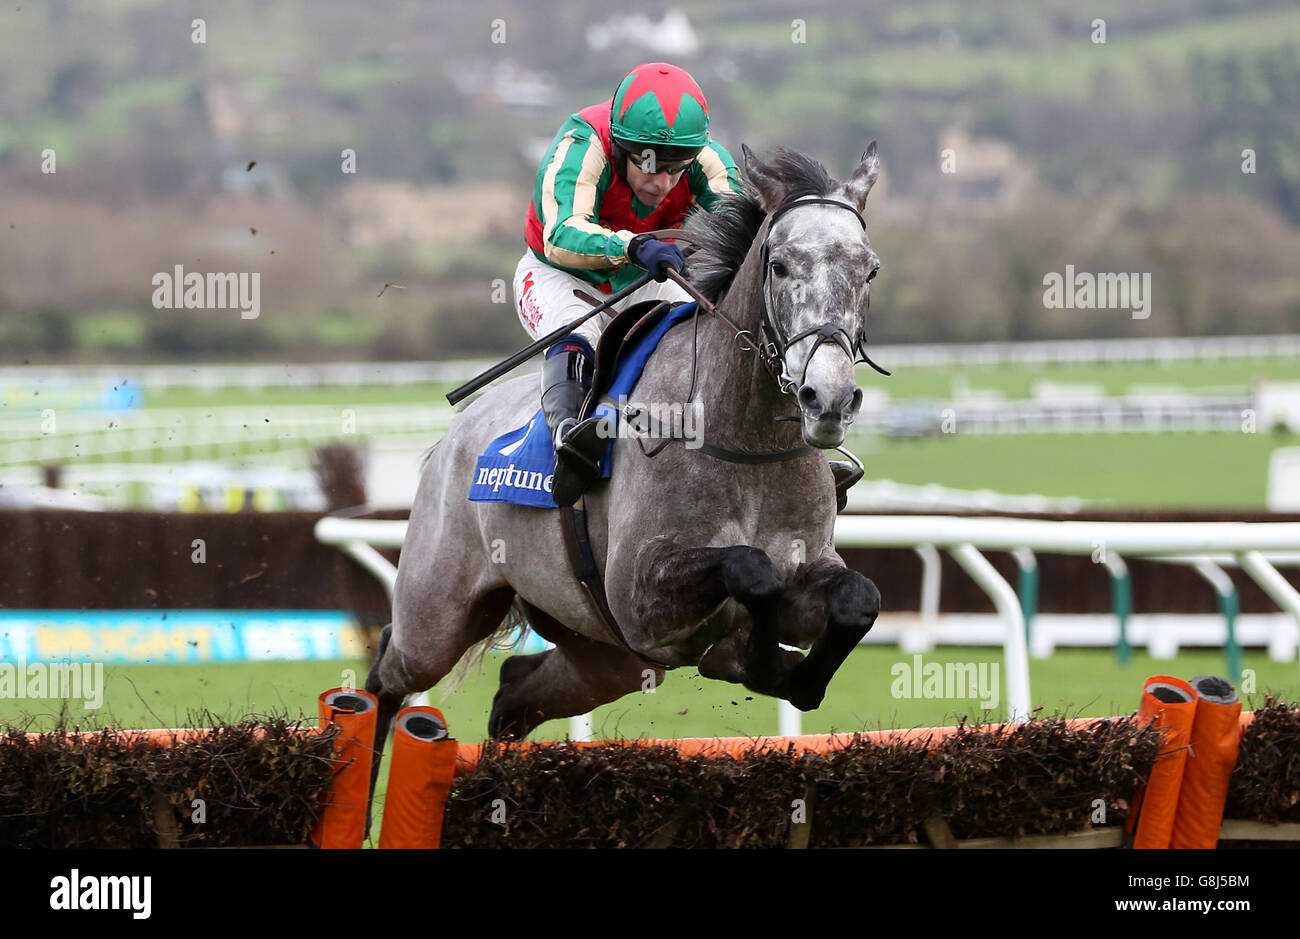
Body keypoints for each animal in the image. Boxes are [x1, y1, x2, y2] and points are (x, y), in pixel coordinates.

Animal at [371, 142, 889, 759]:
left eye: (869, 269)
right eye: (780, 265)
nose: (827, 398)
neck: (744, 442)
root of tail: (451, 438)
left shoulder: (803, 574)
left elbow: (857, 598)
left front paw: (782, 671)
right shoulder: (640, 596)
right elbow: (750, 568)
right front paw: (759, 662)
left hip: (602, 652)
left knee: (514, 692)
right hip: (438, 617)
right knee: (388, 671)